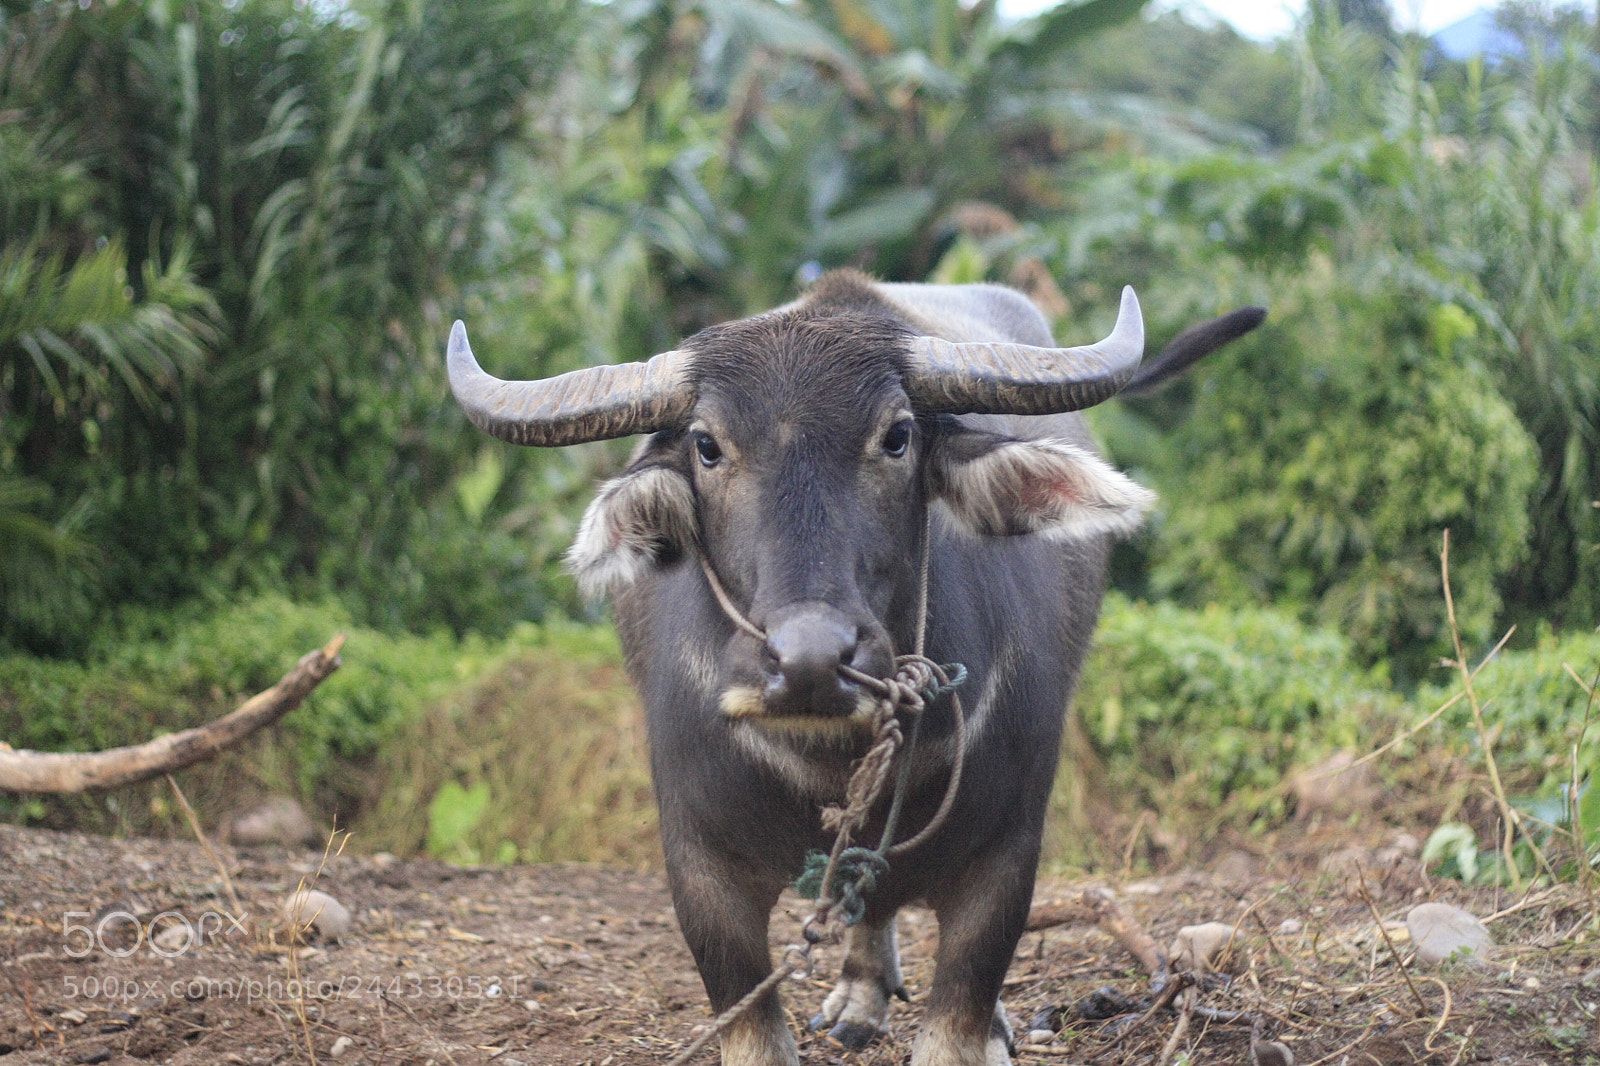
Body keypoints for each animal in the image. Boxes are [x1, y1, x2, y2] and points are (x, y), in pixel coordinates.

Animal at [448, 272, 1262, 1066]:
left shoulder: (1007, 858)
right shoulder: (699, 869)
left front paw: (978, 1030)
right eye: (707, 446)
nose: (809, 660)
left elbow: (955, 1024)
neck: (829, 760)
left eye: (897, 437)